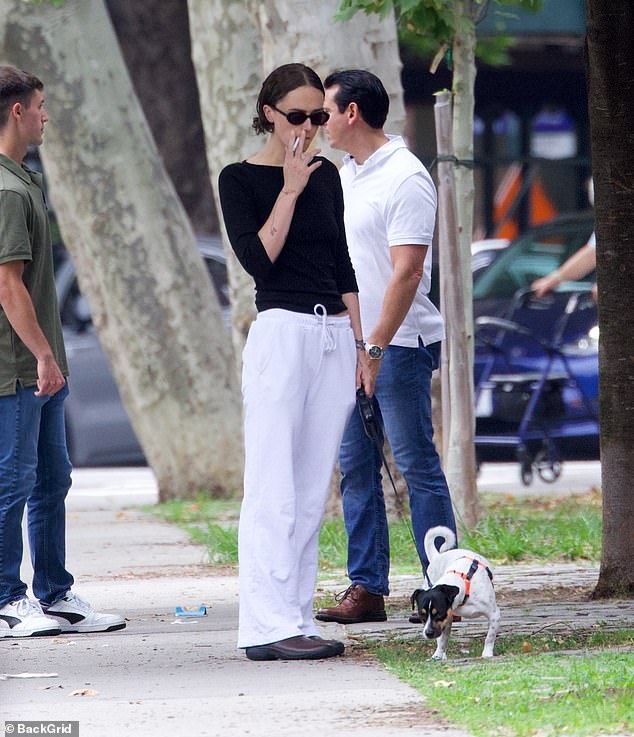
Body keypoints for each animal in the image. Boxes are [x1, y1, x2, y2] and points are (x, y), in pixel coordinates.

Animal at [410, 524, 498, 660]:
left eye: (439, 614)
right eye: (421, 614)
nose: (428, 633)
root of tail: (437, 556)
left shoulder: (494, 615)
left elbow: (490, 636)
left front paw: (487, 654)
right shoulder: (447, 619)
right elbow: (442, 640)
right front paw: (438, 655)